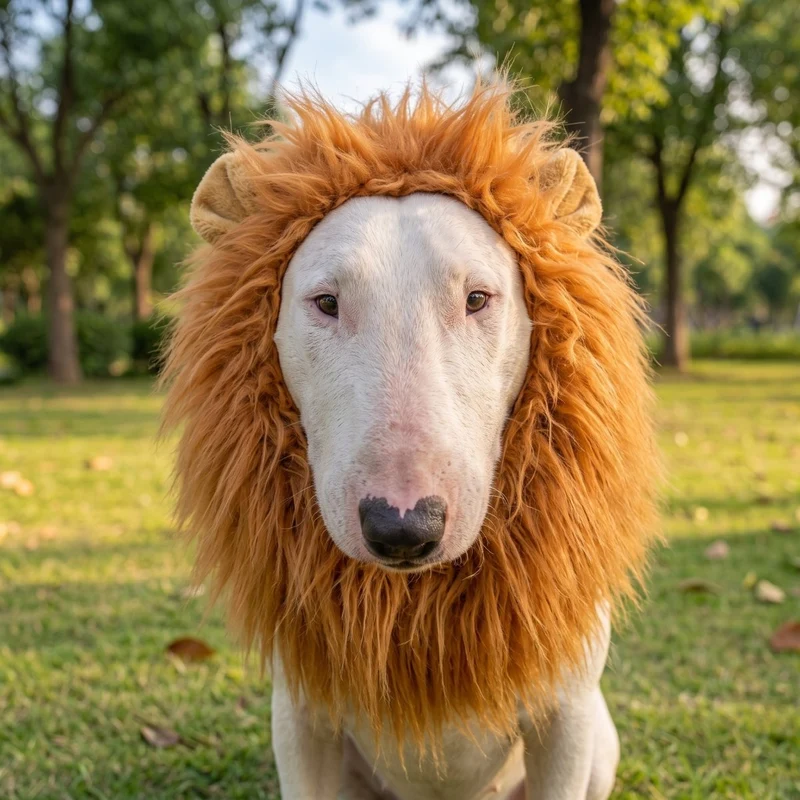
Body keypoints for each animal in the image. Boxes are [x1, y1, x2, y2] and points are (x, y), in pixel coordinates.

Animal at [162, 83, 660, 800]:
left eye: (478, 298)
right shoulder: (303, 718)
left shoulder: (565, 716)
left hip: (600, 743)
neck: (419, 611)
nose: (402, 528)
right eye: (326, 302)